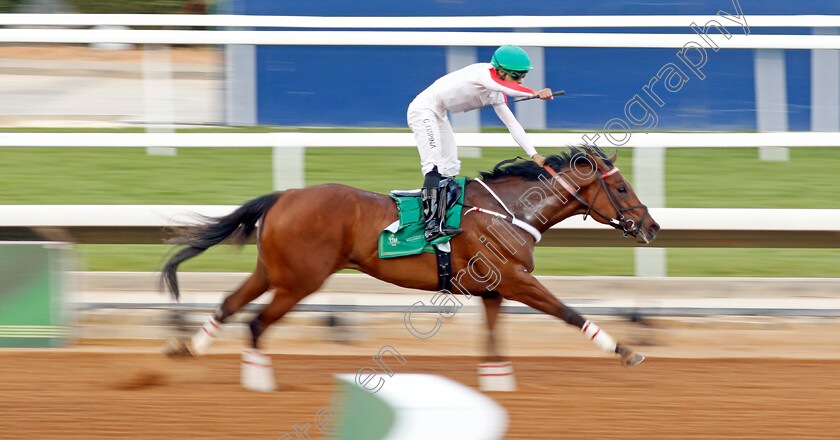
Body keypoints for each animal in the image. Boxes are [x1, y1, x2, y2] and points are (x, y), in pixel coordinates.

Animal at [158, 146, 656, 390]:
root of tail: (284, 195)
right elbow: (568, 312)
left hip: (273, 271)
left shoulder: (494, 288)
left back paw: (187, 349)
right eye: (622, 188)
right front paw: (625, 350)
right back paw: (259, 381)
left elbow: (493, 338)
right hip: (300, 280)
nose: (651, 227)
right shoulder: (517, 281)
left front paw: (498, 382)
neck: (513, 210)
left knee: (229, 303)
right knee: (257, 322)